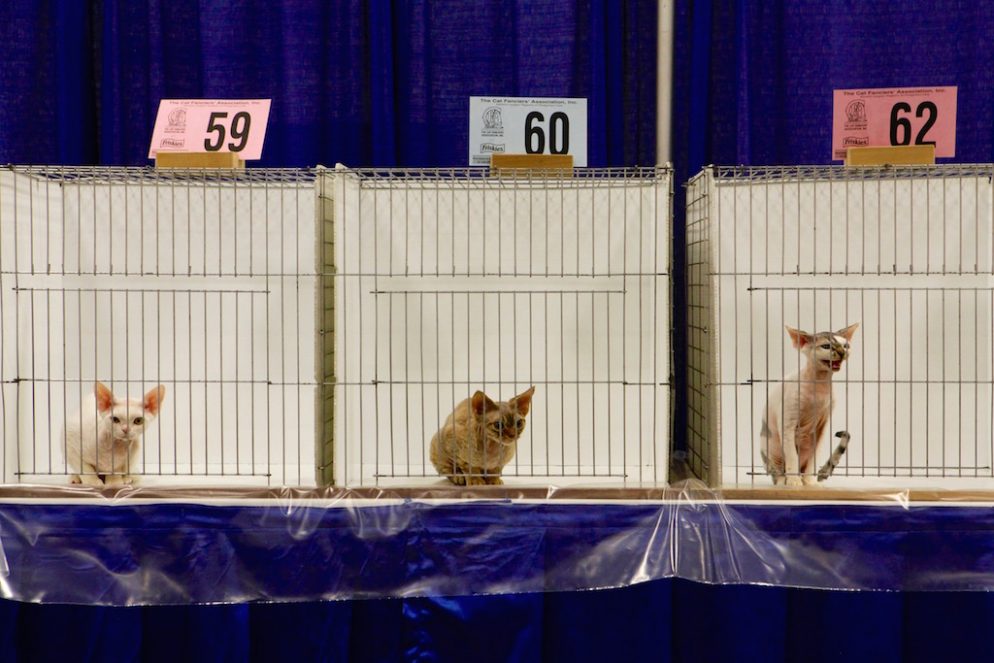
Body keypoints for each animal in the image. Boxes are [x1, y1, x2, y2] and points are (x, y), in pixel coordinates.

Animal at [756, 326, 856, 488]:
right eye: (826, 346)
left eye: (846, 345)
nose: (842, 352)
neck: (819, 385)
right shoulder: (787, 422)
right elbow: (791, 456)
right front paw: (794, 482)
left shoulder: (823, 424)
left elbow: (814, 457)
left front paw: (810, 482)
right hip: (770, 449)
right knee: (777, 473)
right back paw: (783, 482)